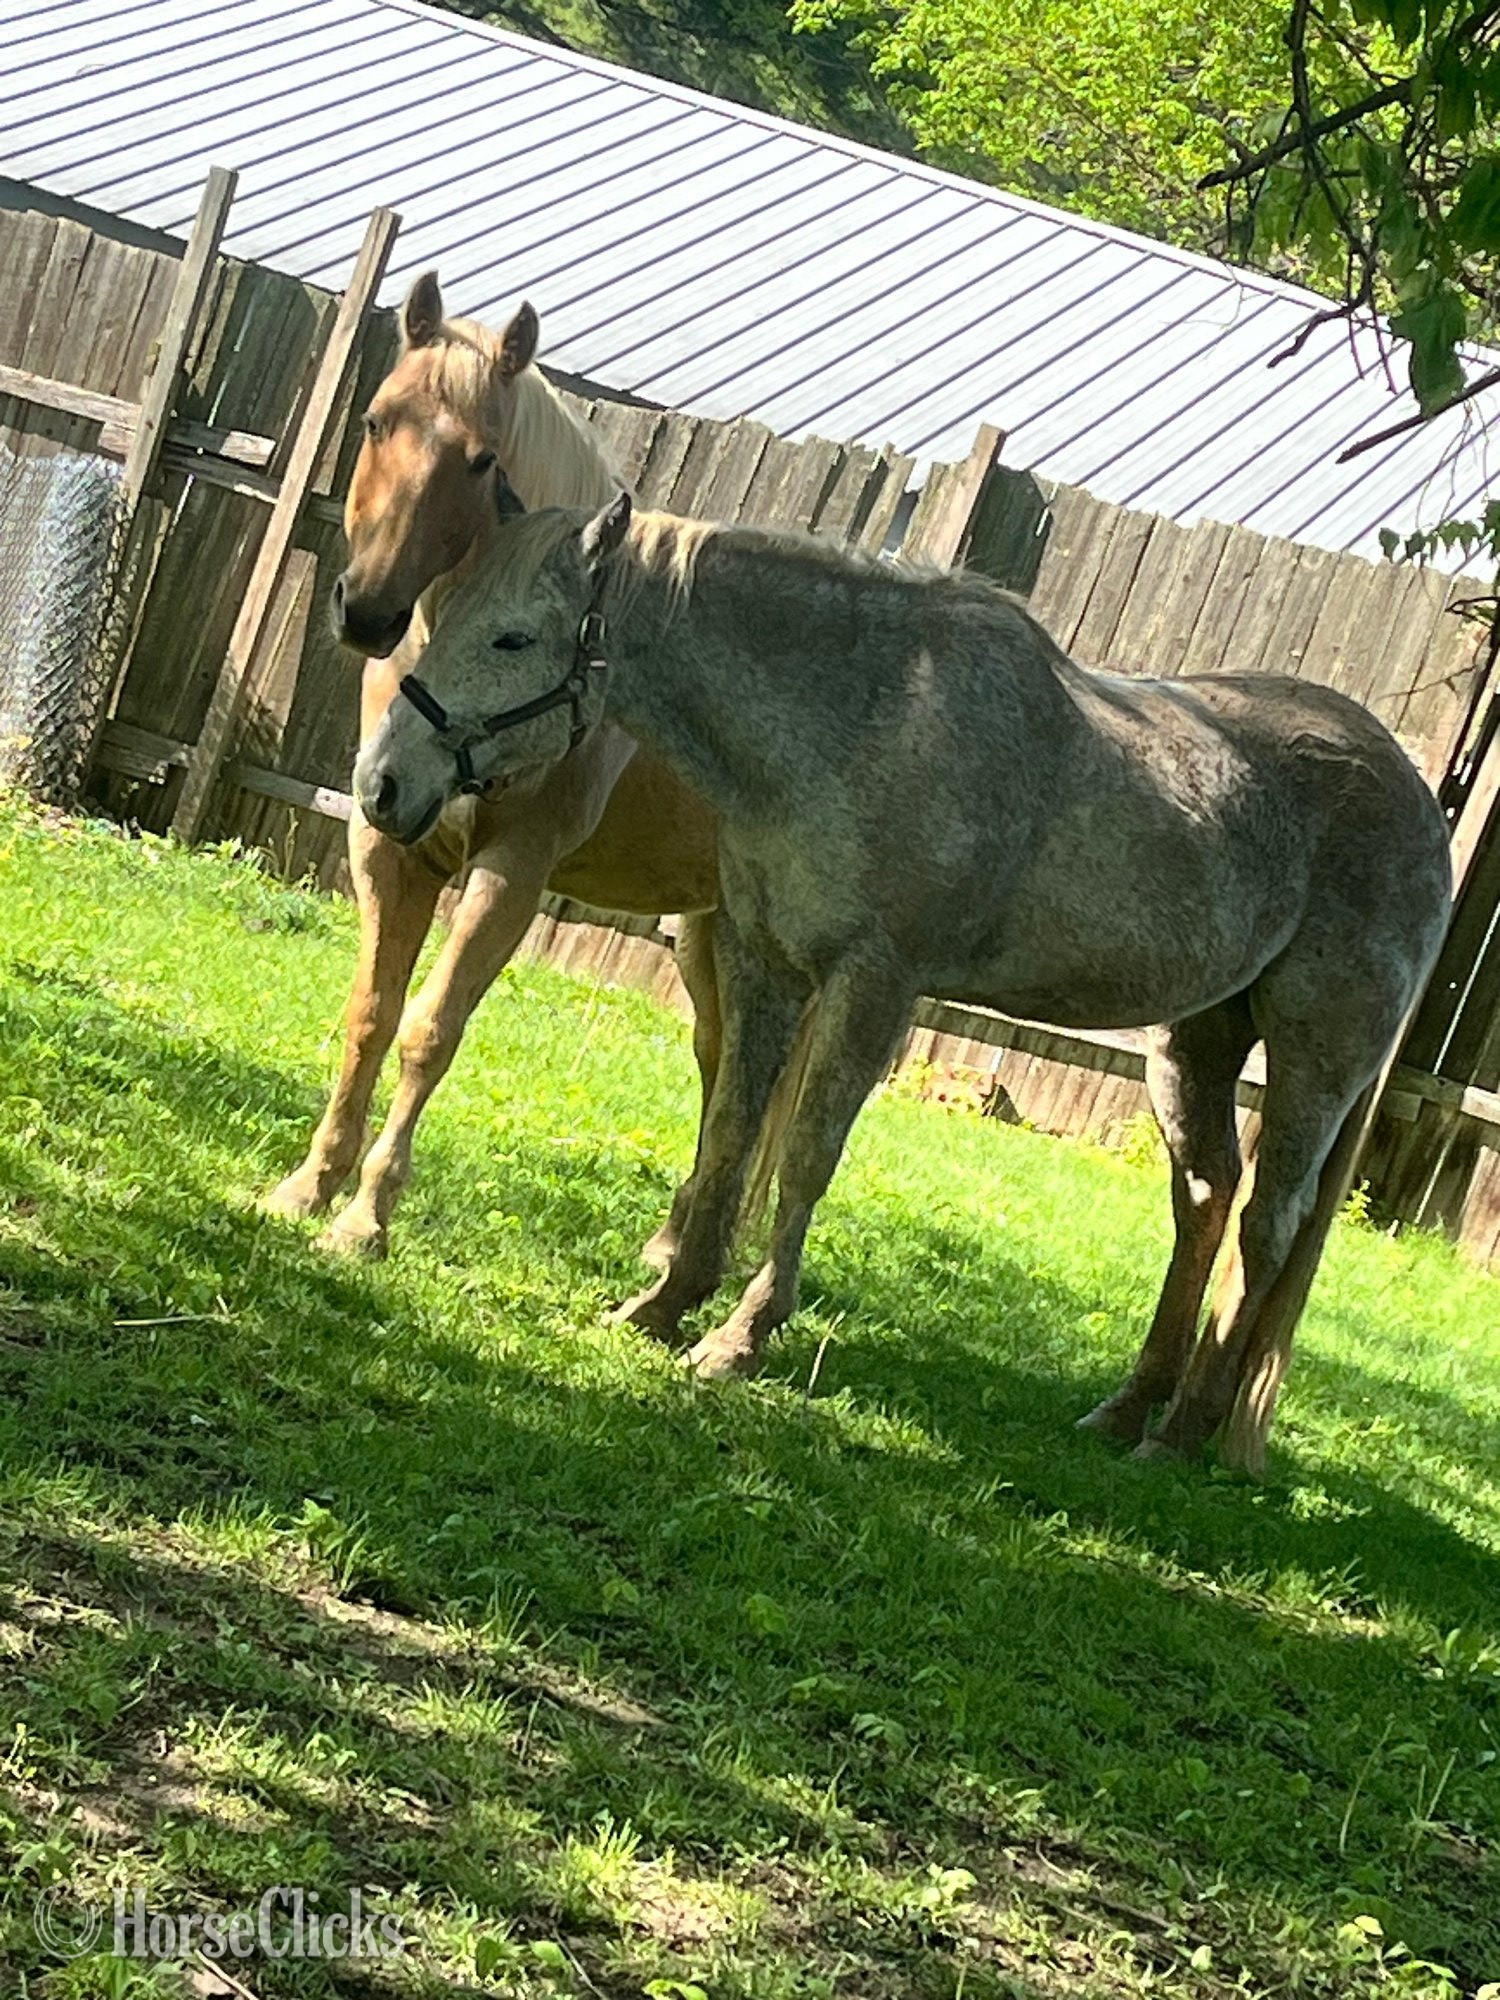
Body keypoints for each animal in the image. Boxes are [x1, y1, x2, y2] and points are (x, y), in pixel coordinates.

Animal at [263, 275, 777, 1267]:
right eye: (377, 419)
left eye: (479, 459)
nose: (367, 611)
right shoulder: (387, 847)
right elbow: (371, 1013)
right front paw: (309, 1185)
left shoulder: (511, 871)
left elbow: (430, 1030)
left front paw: (365, 1217)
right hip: (709, 933)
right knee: (724, 1070)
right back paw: (673, 1243)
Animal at [351, 491, 1451, 1474]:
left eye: (513, 638)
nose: (382, 784)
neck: (860, 715)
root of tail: (1418, 797)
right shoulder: (760, 962)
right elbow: (731, 1132)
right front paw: (665, 1304)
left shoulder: (873, 984)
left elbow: (803, 1156)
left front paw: (739, 1338)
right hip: (1197, 1042)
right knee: (1204, 1201)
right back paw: (1130, 1407)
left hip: (1314, 1057)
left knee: (1269, 1221)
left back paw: (1183, 1431)